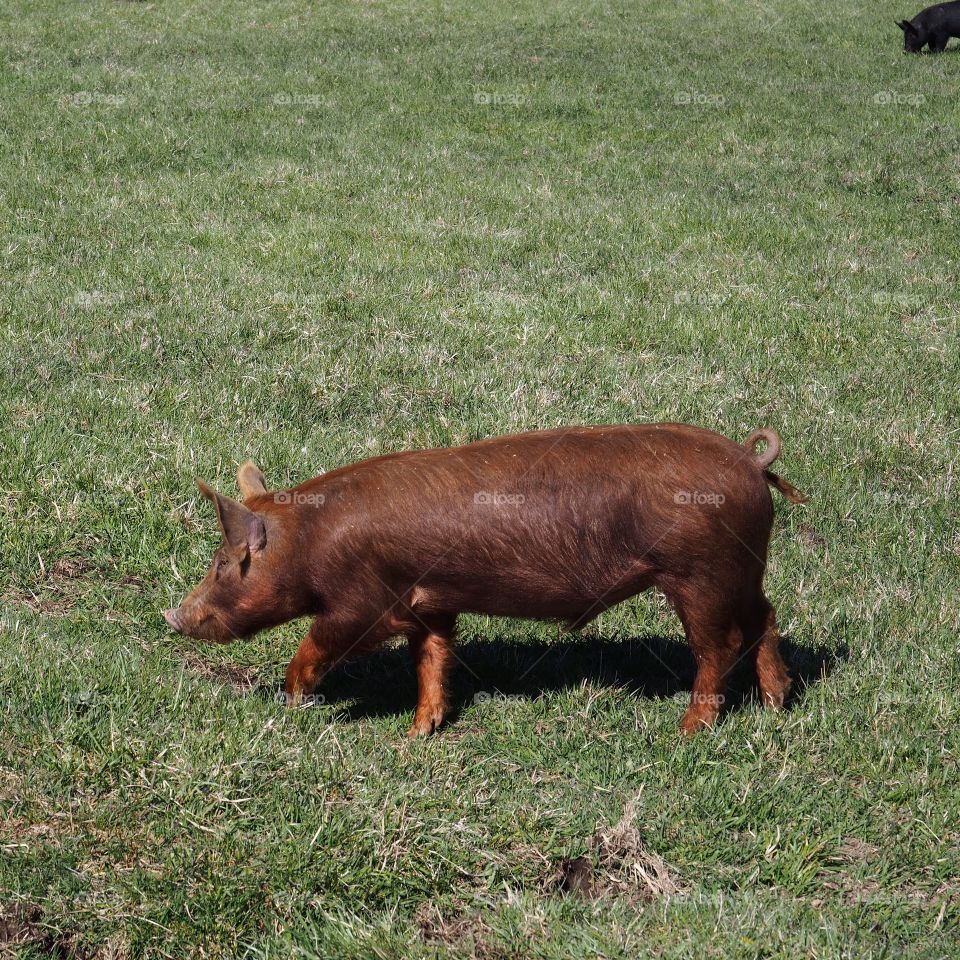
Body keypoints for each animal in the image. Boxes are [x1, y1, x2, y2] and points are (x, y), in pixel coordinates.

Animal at [164, 423, 807, 737]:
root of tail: (752, 461)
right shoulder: (429, 602)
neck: (310, 540)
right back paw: (776, 704)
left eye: (222, 563)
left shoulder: (366, 602)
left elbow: (323, 640)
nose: (172, 616)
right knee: (767, 615)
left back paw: (689, 730)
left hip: (698, 572)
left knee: (718, 644)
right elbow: (432, 657)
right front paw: (419, 733)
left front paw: (295, 696)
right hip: (741, 569)